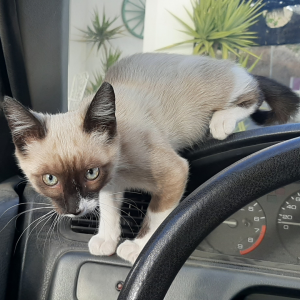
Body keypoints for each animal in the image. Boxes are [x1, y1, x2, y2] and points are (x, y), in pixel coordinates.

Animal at [2, 52, 300, 264]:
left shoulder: (174, 172)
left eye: (90, 173)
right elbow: (109, 210)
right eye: (50, 179)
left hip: (222, 89)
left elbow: (157, 217)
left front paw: (137, 247)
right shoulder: (110, 186)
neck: (120, 168)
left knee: (254, 89)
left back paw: (222, 121)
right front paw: (107, 240)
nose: (75, 210)